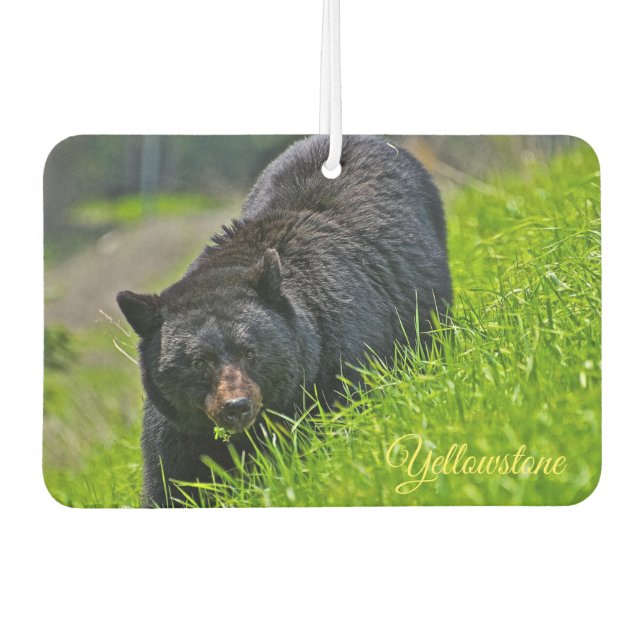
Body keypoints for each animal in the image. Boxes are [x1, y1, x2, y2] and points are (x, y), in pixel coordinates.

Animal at [117, 135, 452, 507]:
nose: (236, 407)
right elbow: (171, 484)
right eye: (198, 361)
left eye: (250, 352)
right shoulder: (177, 429)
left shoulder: (337, 365)